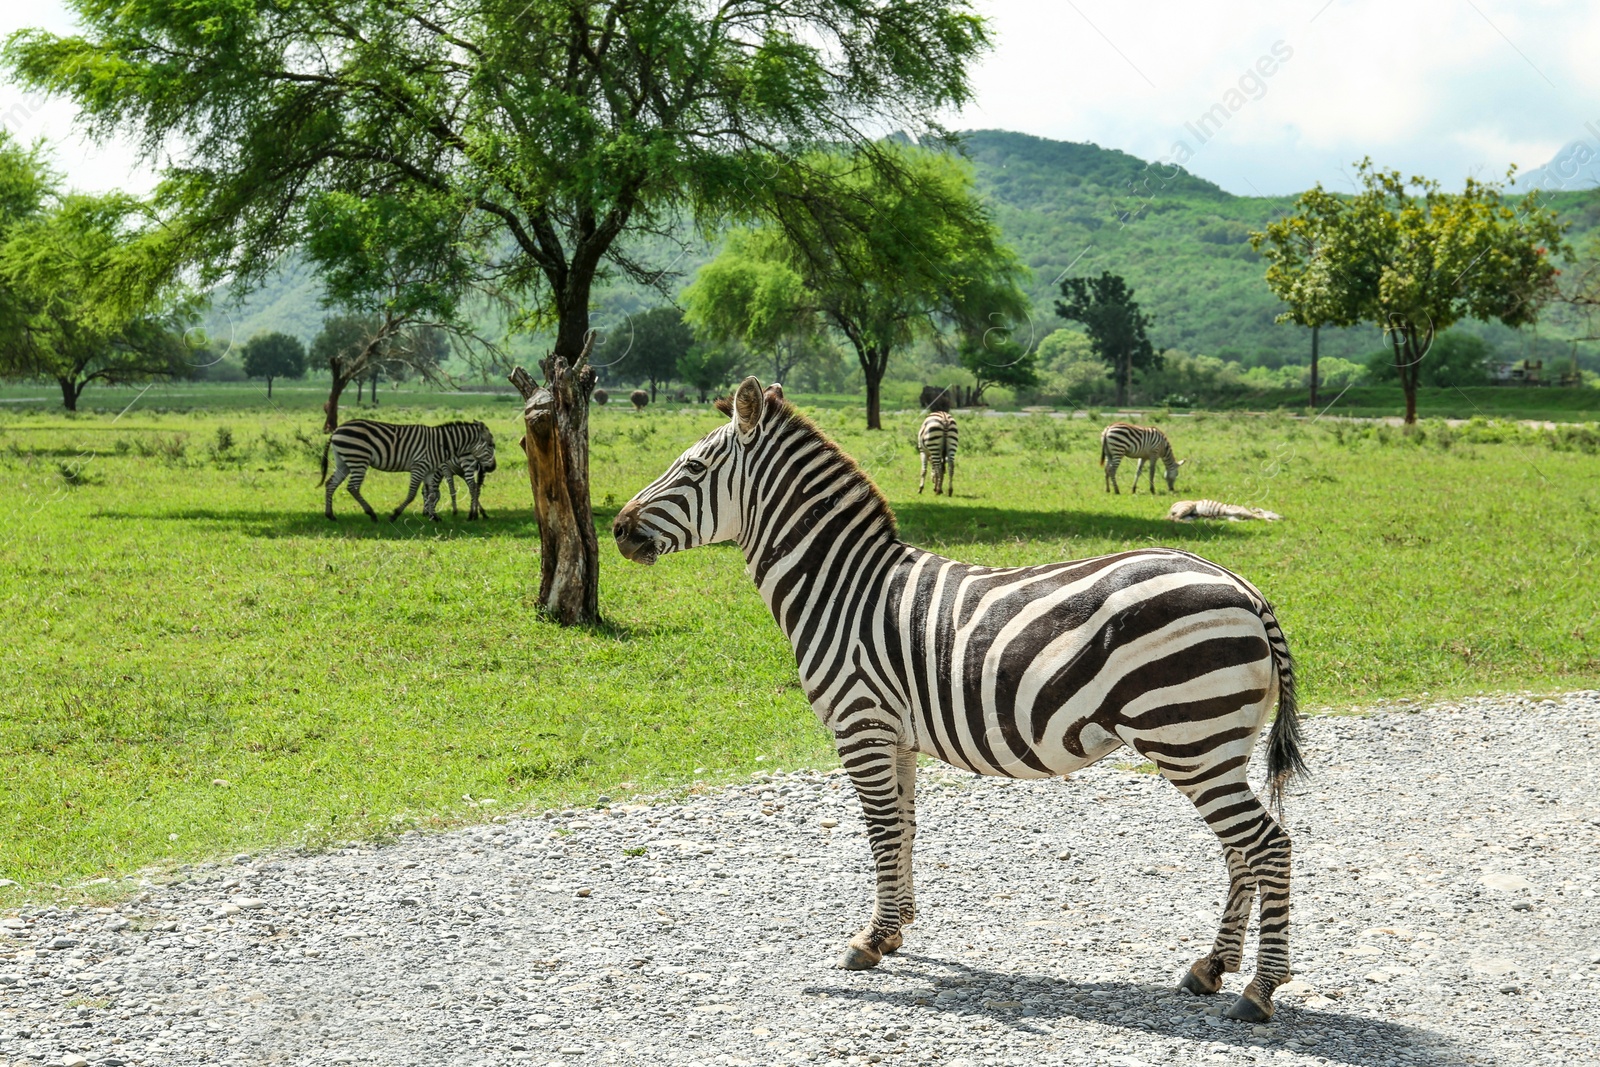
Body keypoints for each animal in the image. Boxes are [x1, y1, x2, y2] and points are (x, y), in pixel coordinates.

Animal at [316, 415, 492, 521]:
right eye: (491, 445)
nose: (491, 468)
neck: (441, 444)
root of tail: (336, 430)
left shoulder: (429, 470)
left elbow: (432, 494)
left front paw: (433, 517)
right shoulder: (419, 467)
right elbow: (413, 494)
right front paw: (395, 515)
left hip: (344, 462)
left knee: (331, 483)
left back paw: (330, 515)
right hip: (358, 459)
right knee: (352, 487)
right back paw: (371, 514)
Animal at [617, 379, 1305, 1023]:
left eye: (693, 469)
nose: (620, 530)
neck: (841, 589)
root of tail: (1244, 588)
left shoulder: (860, 724)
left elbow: (880, 830)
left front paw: (869, 940)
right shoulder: (896, 735)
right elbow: (904, 828)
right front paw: (892, 930)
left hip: (1187, 735)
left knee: (1268, 845)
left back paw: (1259, 990)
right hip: (1216, 742)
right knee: (1240, 849)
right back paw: (1210, 968)